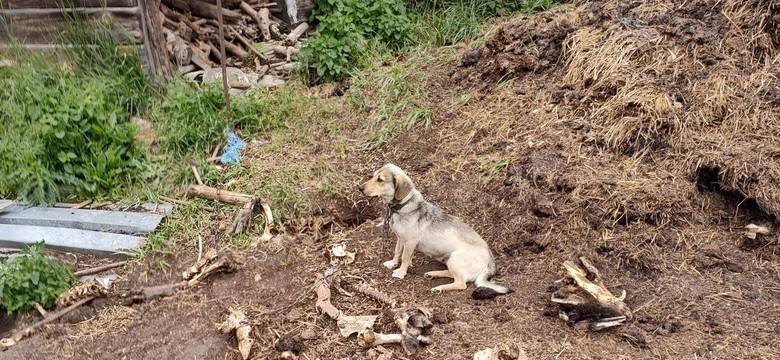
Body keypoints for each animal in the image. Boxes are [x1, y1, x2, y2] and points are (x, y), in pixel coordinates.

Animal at [358, 163, 512, 298]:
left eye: (380, 180)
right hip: (450, 260)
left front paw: (401, 272)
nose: (359, 188)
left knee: (461, 284)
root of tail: (490, 260)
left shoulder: (410, 242)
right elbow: (397, 252)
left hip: (455, 258)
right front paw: (393, 263)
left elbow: (405, 257)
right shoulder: (400, 239)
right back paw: (433, 273)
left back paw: (439, 288)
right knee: (452, 275)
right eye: (373, 176)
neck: (404, 206)